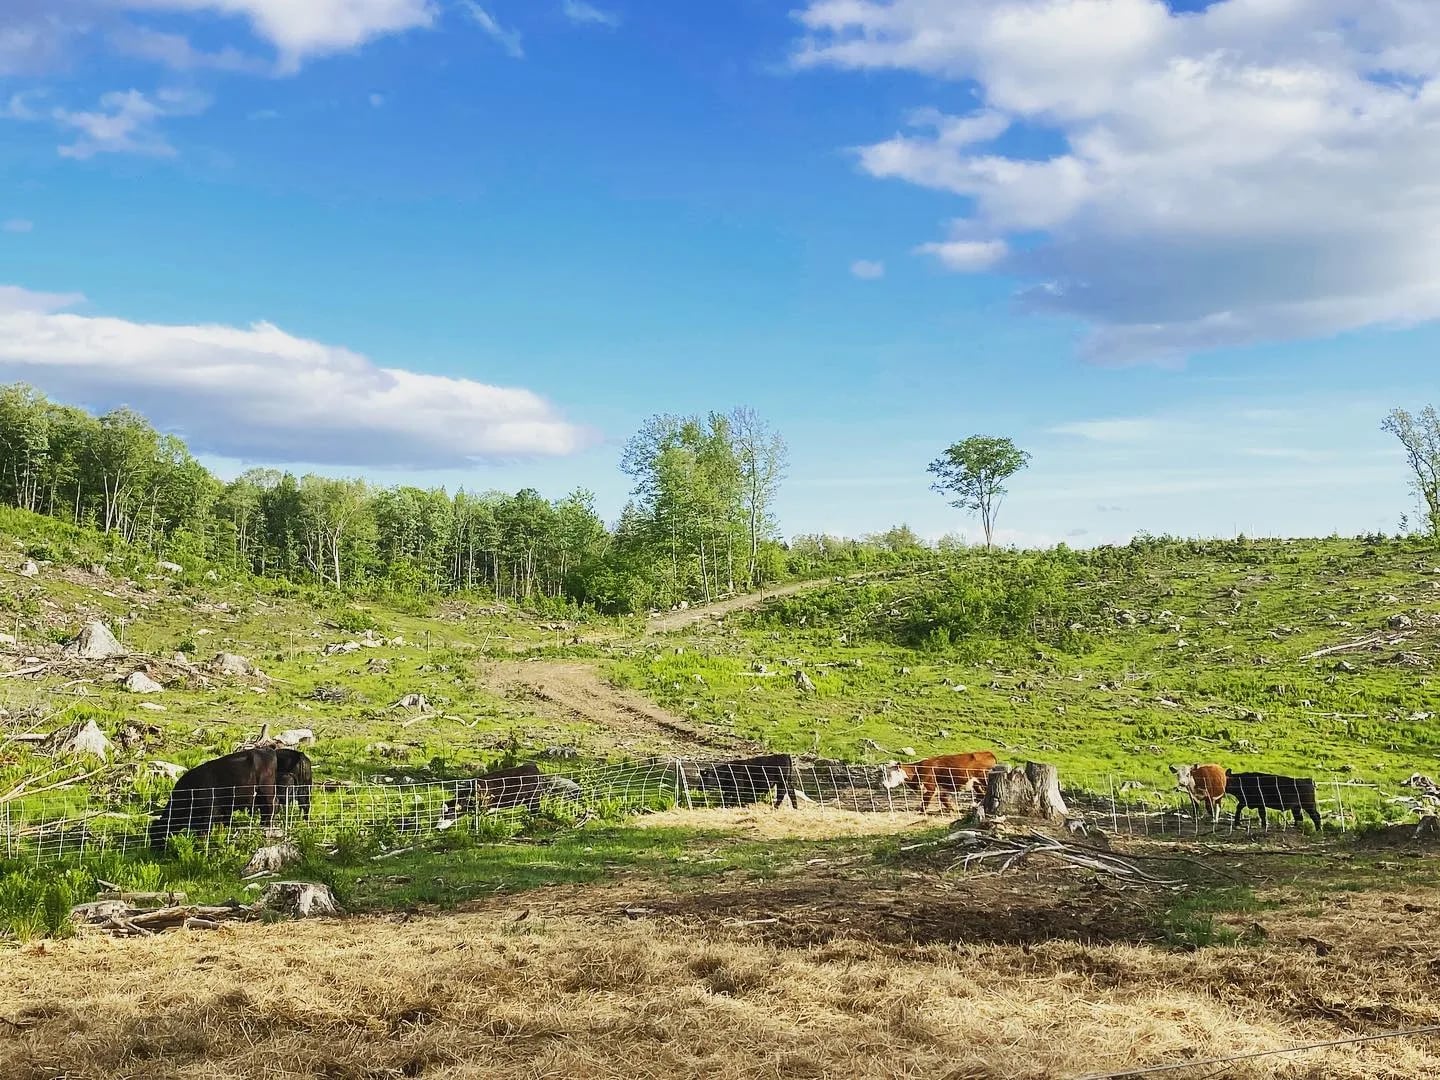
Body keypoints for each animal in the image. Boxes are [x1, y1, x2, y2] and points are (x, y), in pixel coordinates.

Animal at [148, 746, 279, 850]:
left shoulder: (209, 815)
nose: (153, 850)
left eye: (156, 834)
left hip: (266, 792)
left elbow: (204, 835)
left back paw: (266, 827)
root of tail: (268, 750)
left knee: (270, 807)